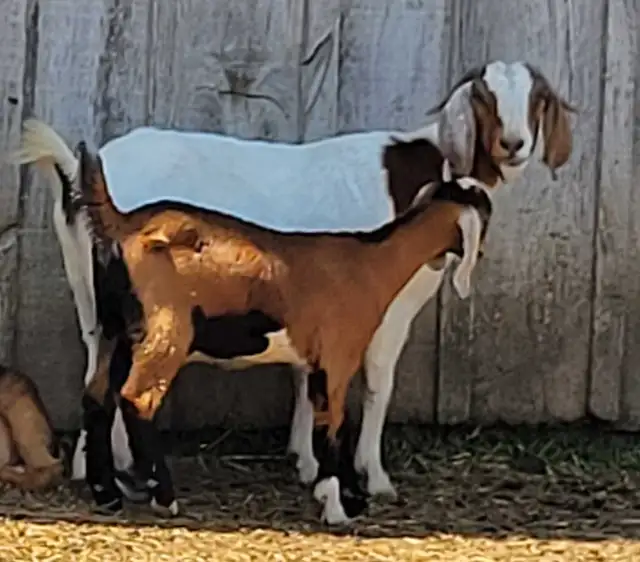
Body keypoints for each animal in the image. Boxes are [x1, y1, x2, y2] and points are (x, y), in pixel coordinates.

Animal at [10, 60, 575, 507]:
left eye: (538, 98)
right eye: (484, 97)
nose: (514, 145)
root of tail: (79, 173)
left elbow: (307, 377)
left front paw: (306, 462)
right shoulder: (388, 307)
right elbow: (378, 383)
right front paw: (372, 477)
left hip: (94, 295)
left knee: (97, 368)